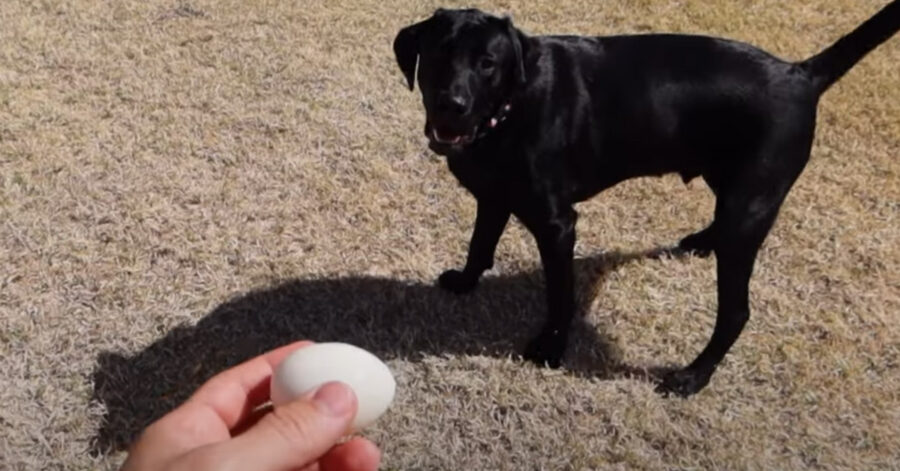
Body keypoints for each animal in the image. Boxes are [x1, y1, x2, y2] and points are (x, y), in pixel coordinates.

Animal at [392, 2, 900, 398]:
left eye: (488, 63)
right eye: (438, 53)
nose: (451, 105)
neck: (509, 108)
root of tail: (800, 73)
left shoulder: (557, 224)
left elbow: (560, 295)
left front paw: (550, 349)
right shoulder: (495, 196)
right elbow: (480, 245)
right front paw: (464, 282)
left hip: (751, 206)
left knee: (736, 311)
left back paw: (693, 377)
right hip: (730, 187)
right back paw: (702, 240)